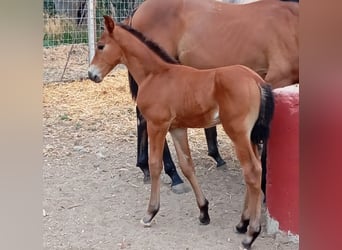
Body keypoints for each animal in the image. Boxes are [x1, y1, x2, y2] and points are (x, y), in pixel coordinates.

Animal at [89, 16, 276, 249]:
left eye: (101, 46)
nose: (91, 74)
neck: (156, 75)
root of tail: (256, 80)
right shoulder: (177, 128)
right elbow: (187, 166)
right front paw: (204, 212)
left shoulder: (157, 125)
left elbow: (155, 165)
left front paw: (150, 213)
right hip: (249, 136)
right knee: (256, 169)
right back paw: (242, 223)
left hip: (238, 133)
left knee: (252, 171)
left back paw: (251, 234)